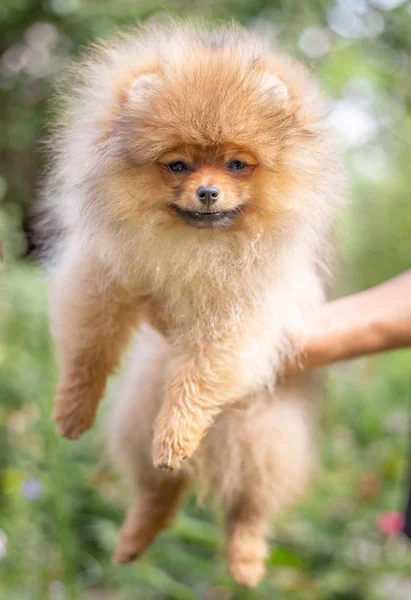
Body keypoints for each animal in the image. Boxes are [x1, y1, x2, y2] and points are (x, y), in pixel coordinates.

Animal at [36, 23, 344, 584]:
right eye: (177, 165)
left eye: (237, 164)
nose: (206, 192)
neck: (198, 246)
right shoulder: (102, 276)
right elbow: (89, 347)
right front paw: (72, 409)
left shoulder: (236, 316)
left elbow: (199, 376)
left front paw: (176, 434)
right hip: (138, 412)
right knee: (158, 489)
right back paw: (134, 537)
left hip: (263, 431)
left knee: (250, 502)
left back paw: (245, 559)